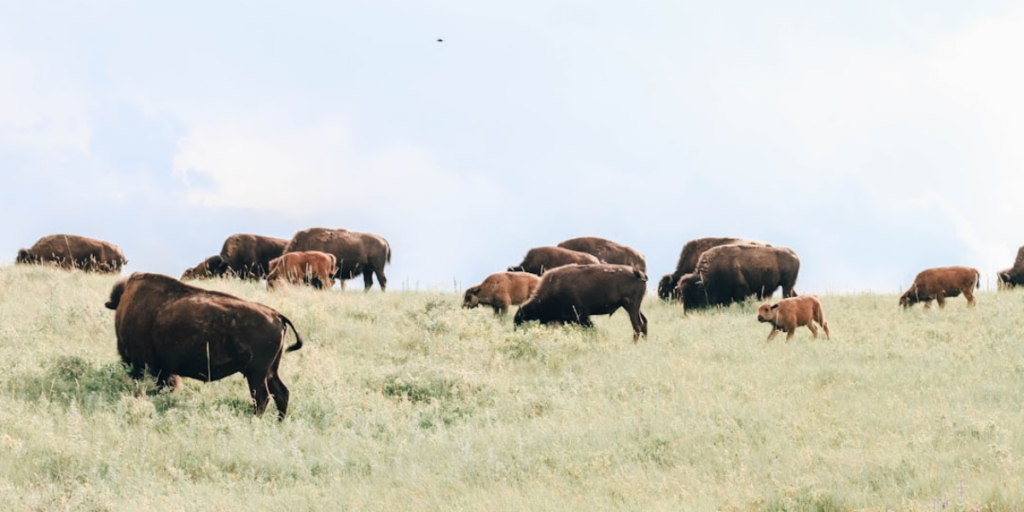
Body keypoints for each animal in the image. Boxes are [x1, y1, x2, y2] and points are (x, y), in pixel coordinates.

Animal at [512, 264, 647, 344]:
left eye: (521, 321)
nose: (516, 332)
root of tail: (638, 273)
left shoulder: (581, 316)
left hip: (631, 306)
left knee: (637, 325)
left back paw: (633, 344)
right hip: (635, 307)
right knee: (644, 322)